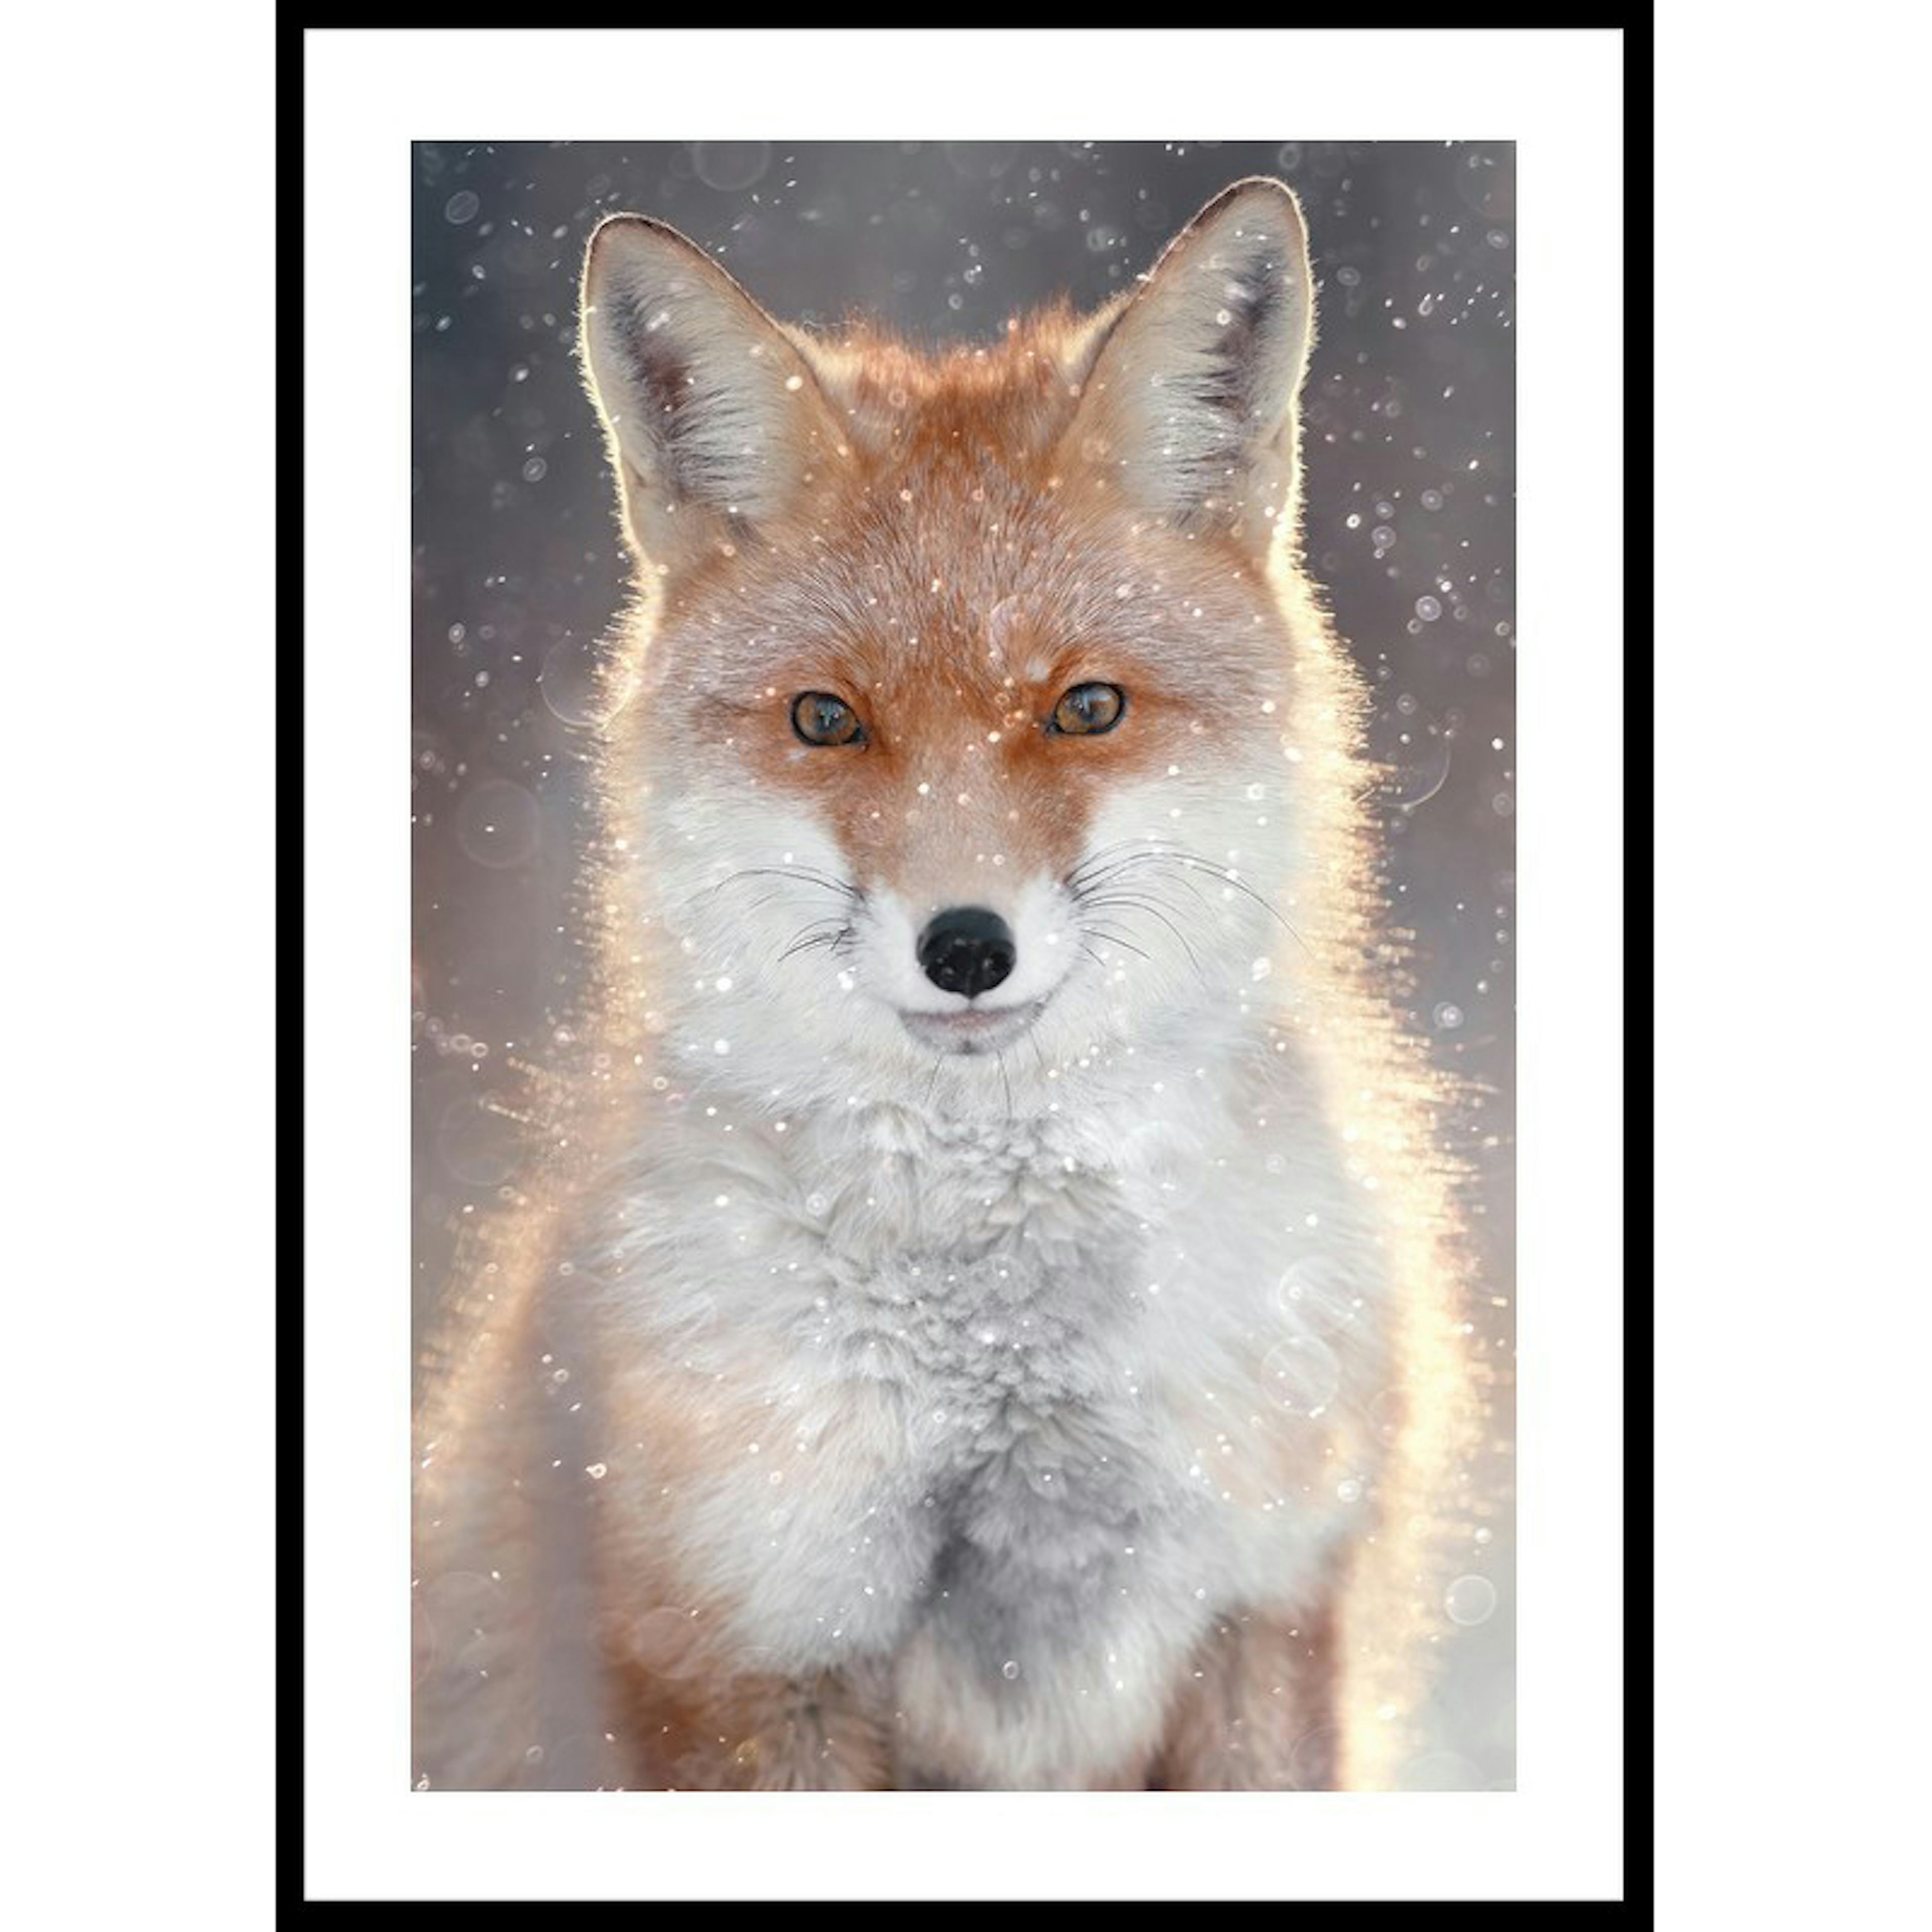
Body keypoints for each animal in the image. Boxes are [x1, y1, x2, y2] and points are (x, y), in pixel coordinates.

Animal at [412, 176, 1488, 1792]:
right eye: (825, 720)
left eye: (1086, 707)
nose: (966, 947)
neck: (1005, 1365)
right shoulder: (747, 1646)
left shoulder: (1266, 1610)